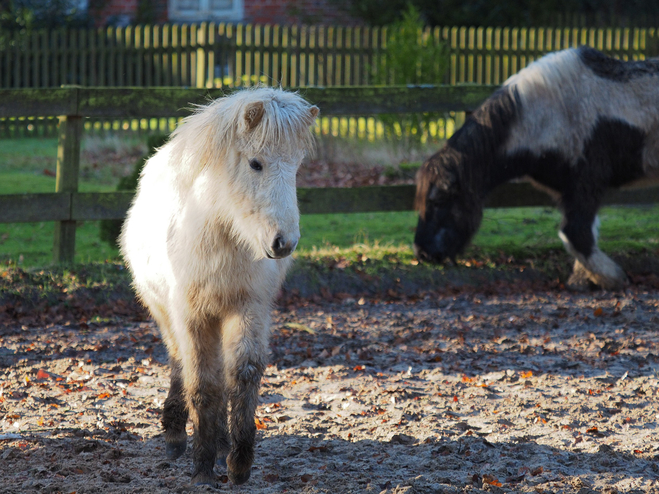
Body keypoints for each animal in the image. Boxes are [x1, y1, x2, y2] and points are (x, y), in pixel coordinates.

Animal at [124, 88, 322, 486]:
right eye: (256, 164)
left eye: (296, 167)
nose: (283, 244)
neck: (223, 235)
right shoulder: (191, 317)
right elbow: (202, 384)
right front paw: (202, 466)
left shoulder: (248, 309)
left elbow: (242, 375)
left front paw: (238, 462)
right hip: (166, 313)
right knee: (179, 362)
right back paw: (176, 436)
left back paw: (220, 440)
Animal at [418, 46, 659, 290]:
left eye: (438, 201)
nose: (423, 254)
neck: (547, 114)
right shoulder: (571, 191)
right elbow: (586, 232)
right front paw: (584, 278)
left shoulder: (586, 183)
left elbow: (576, 234)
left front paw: (611, 277)